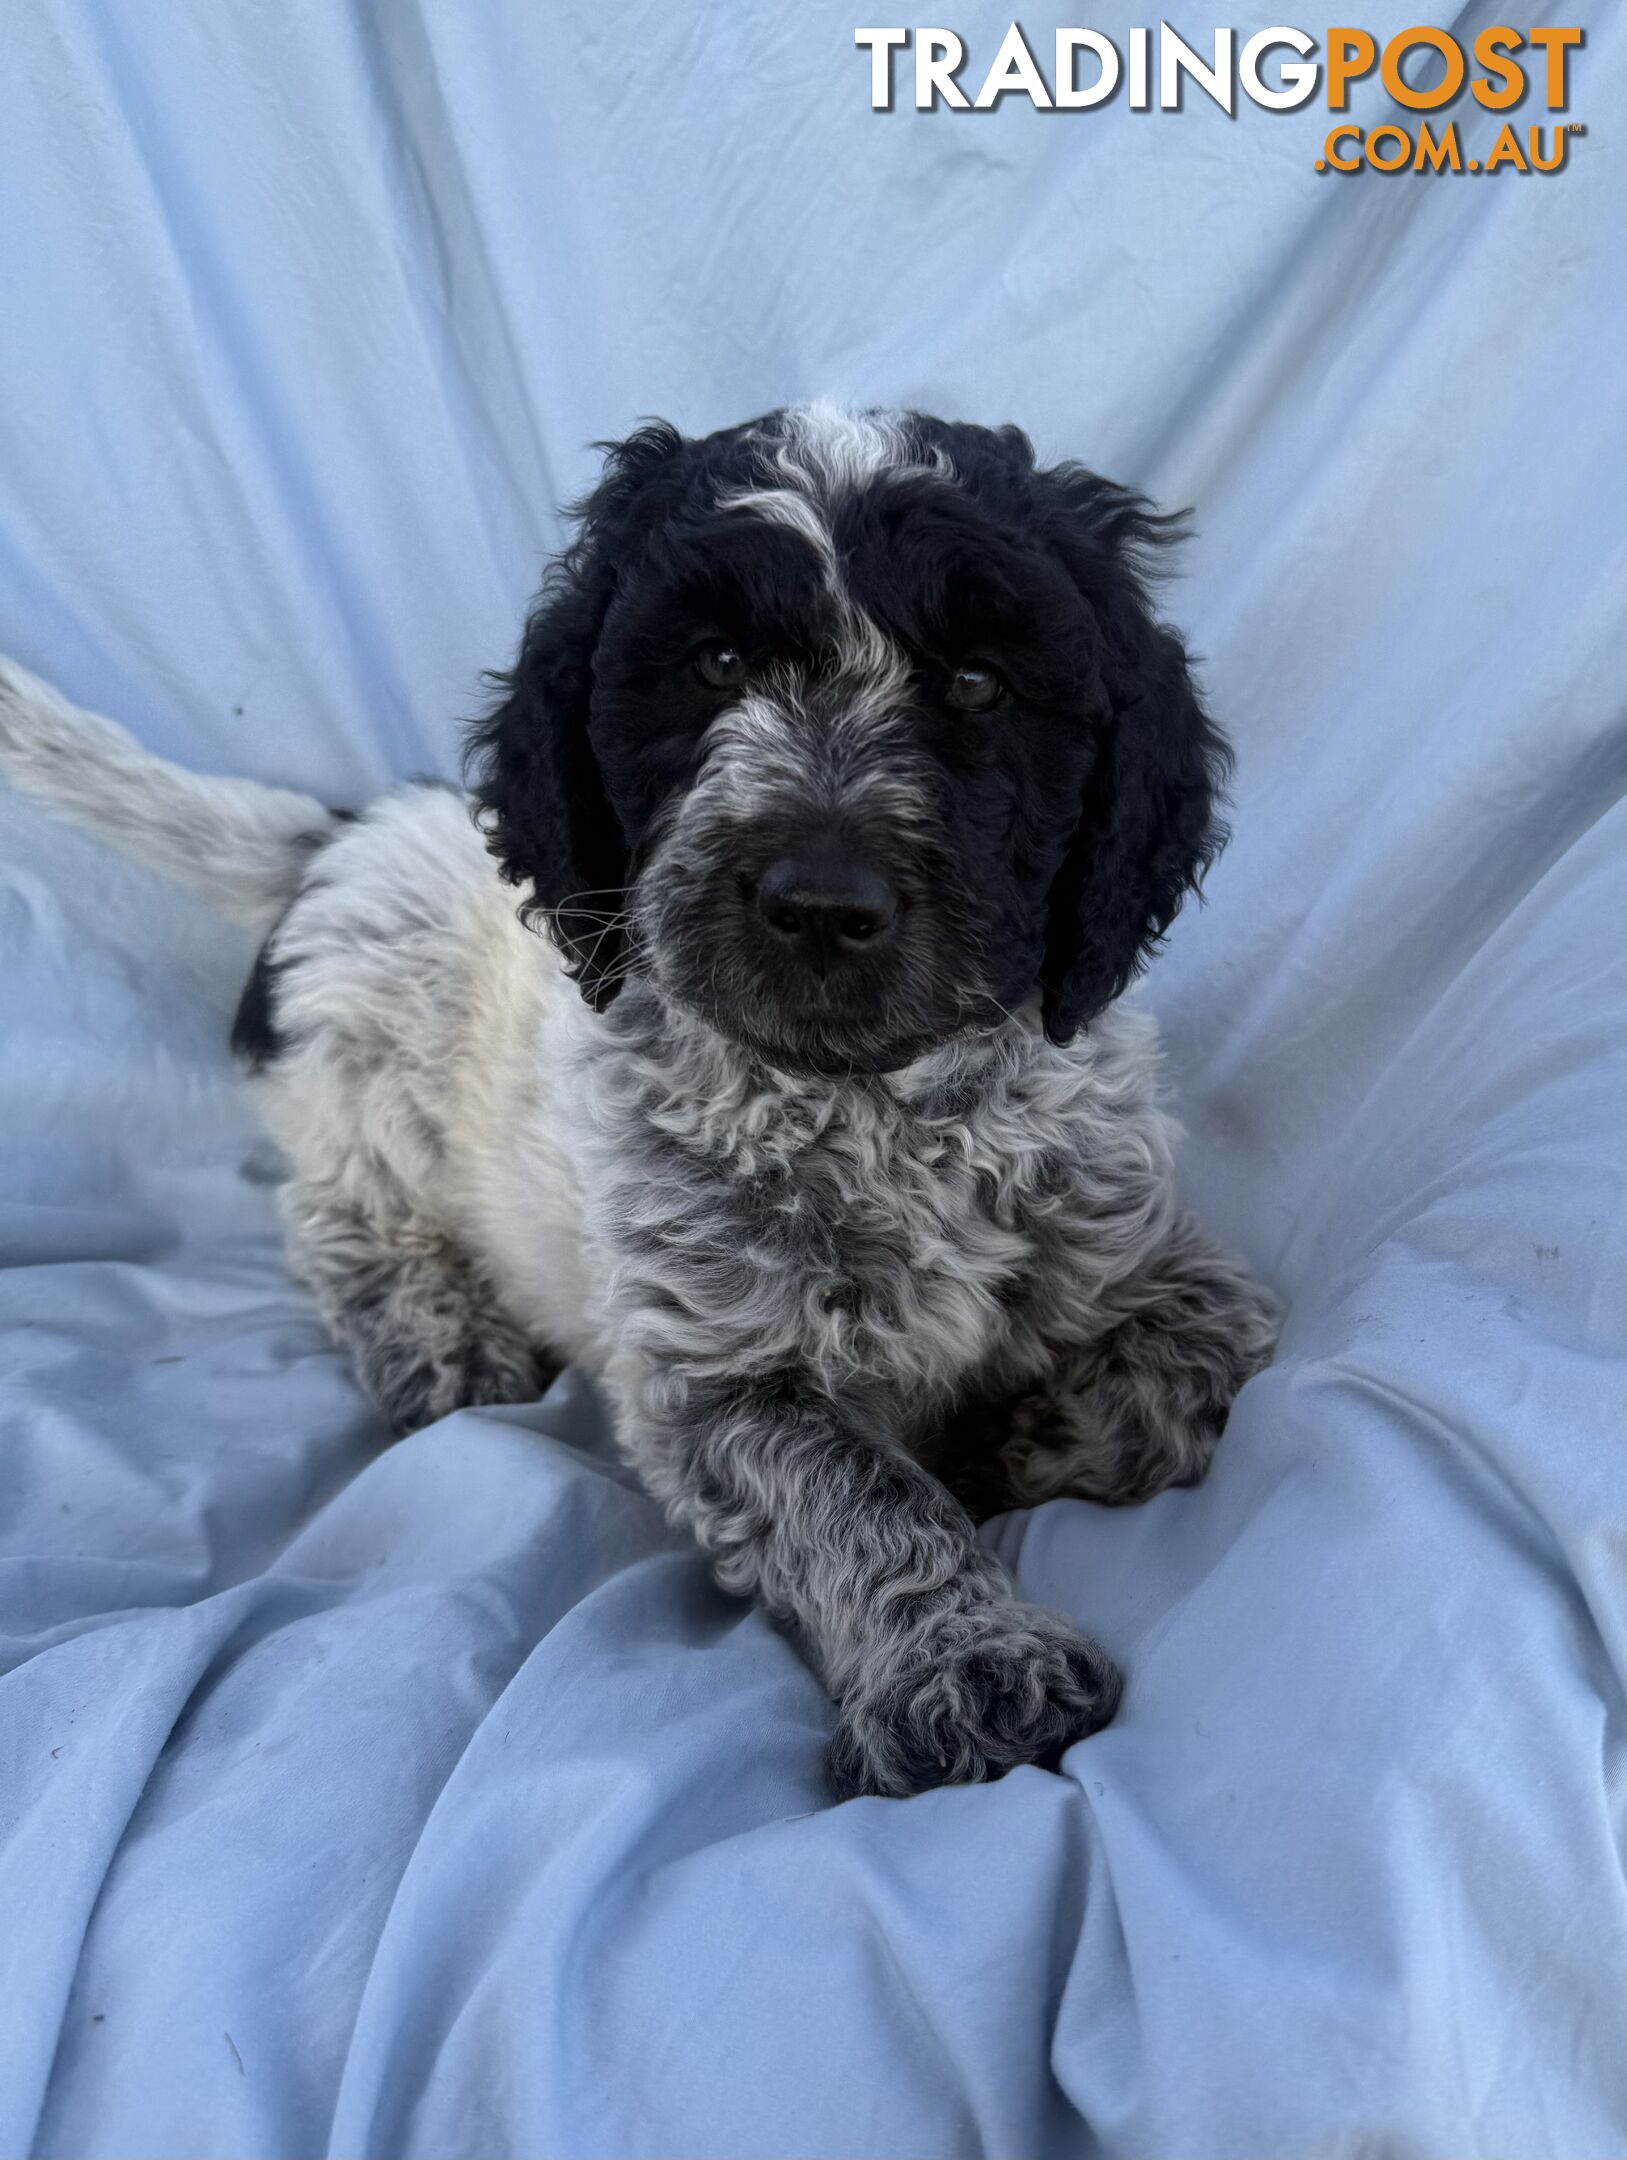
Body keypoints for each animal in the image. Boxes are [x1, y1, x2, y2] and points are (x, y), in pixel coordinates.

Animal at [0, 401, 1279, 1788]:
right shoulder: (717, 1379)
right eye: (713, 664)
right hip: (368, 1068)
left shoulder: (1133, 1243)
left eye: (981, 687)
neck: (869, 1108)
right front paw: (970, 1665)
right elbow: (853, 1493)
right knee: (335, 1215)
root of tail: (340, 834)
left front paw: (1028, 1442)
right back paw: (439, 1335)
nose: (818, 901)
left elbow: (1207, 1354)